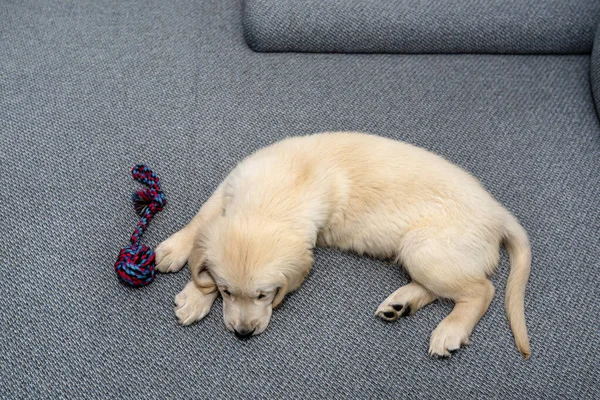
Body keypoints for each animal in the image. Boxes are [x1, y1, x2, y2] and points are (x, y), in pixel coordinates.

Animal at [155, 132, 528, 360]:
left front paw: (195, 294)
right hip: (426, 254)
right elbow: (203, 219)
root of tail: (499, 213)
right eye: (227, 291)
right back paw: (400, 304)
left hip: (425, 247)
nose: (243, 333)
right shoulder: (232, 182)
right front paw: (184, 268)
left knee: (480, 290)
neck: (273, 197)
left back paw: (451, 329)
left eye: (264, 295)